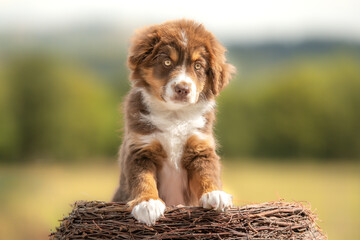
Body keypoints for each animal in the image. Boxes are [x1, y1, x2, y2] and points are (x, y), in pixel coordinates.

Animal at [113, 18, 236, 225]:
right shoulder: (139, 149)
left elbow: (207, 171)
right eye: (167, 62)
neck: (174, 115)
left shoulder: (200, 147)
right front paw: (147, 204)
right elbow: (142, 178)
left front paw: (215, 194)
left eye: (198, 66)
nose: (183, 89)